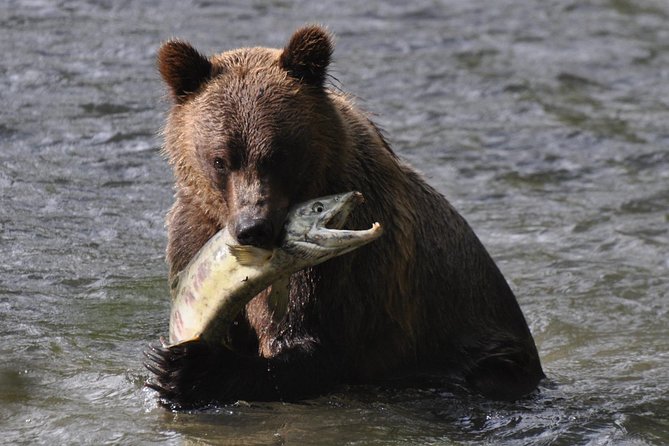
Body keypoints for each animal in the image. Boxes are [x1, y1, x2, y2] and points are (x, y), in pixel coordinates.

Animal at [145, 23, 544, 408]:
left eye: (278, 154)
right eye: (220, 160)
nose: (252, 228)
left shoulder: (346, 268)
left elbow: (313, 347)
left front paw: (185, 369)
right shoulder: (194, 233)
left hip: (484, 344)